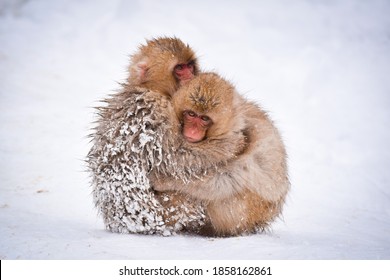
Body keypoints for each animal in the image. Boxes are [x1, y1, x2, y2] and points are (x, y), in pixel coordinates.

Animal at [87, 36, 207, 234]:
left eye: (190, 66)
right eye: (180, 68)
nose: (191, 76)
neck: (152, 89)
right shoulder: (156, 111)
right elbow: (176, 162)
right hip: (172, 210)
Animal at [152, 72, 290, 236]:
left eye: (204, 118)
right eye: (191, 114)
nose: (192, 131)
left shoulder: (235, 139)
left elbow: (226, 180)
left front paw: (164, 180)